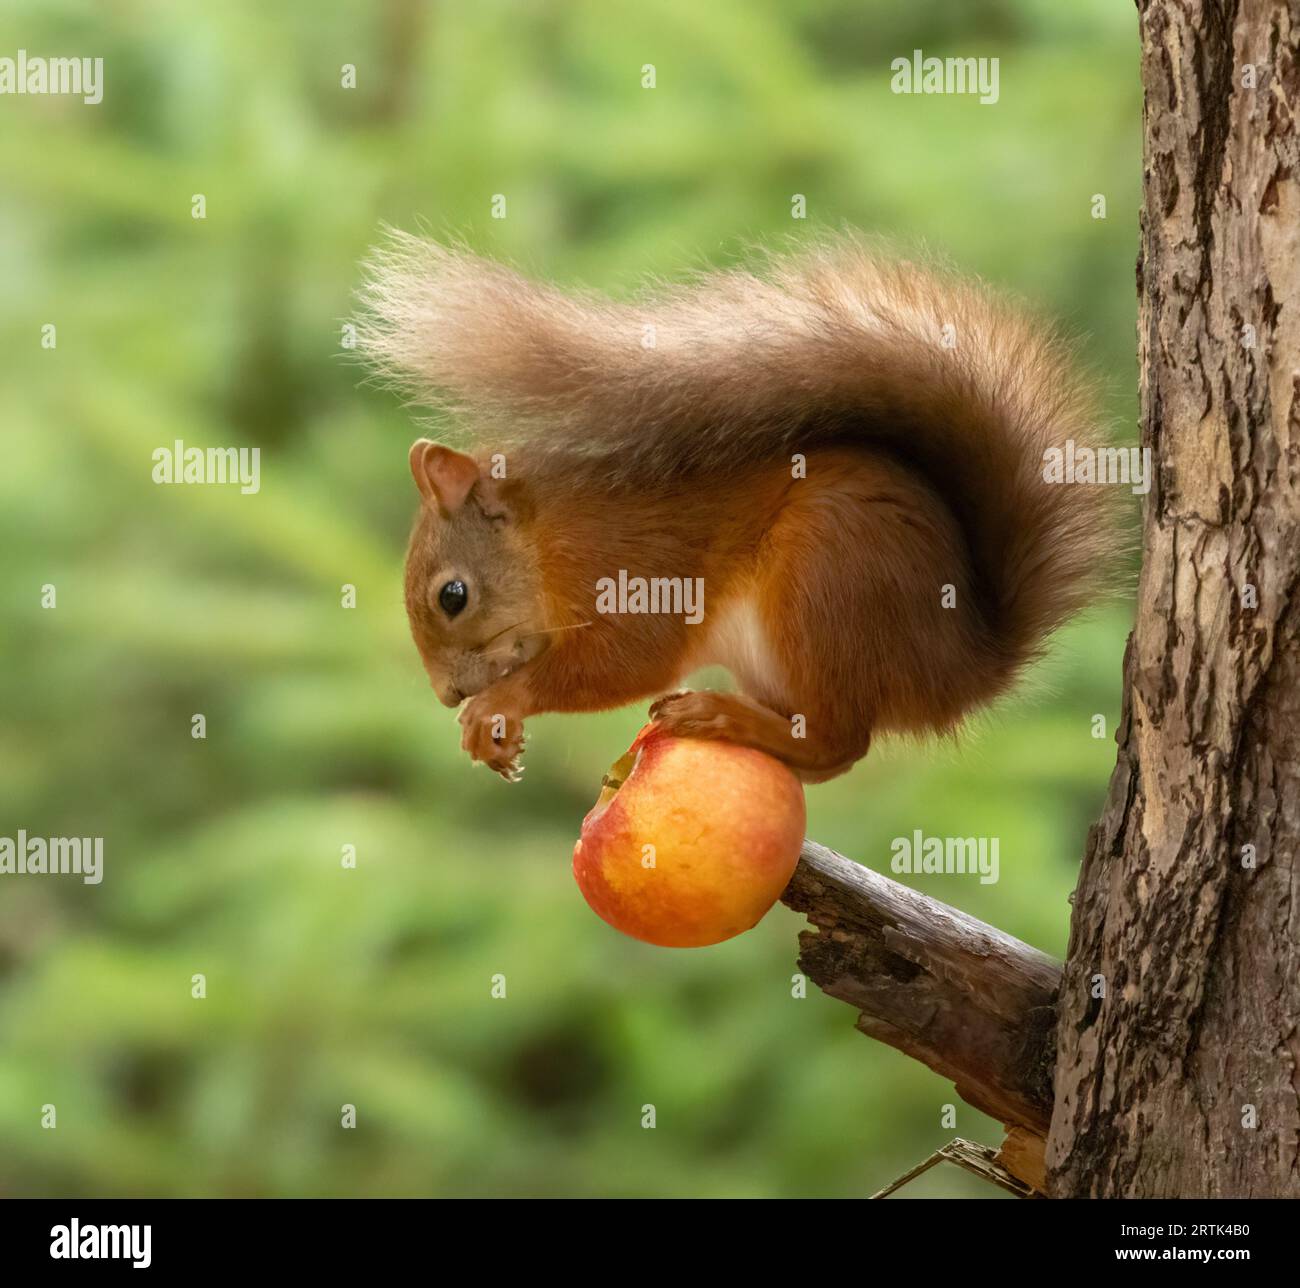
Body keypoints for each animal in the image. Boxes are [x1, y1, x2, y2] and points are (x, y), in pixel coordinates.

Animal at [358, 233, 1111, 783]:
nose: (448, 696)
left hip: (828, 576)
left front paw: (499, 704)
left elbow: (628, 662)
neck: (543, 539)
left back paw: (728, 720)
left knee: (840, 745)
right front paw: (494, 734)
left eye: (452, 595)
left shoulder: (628, 565)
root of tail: (961, 667)